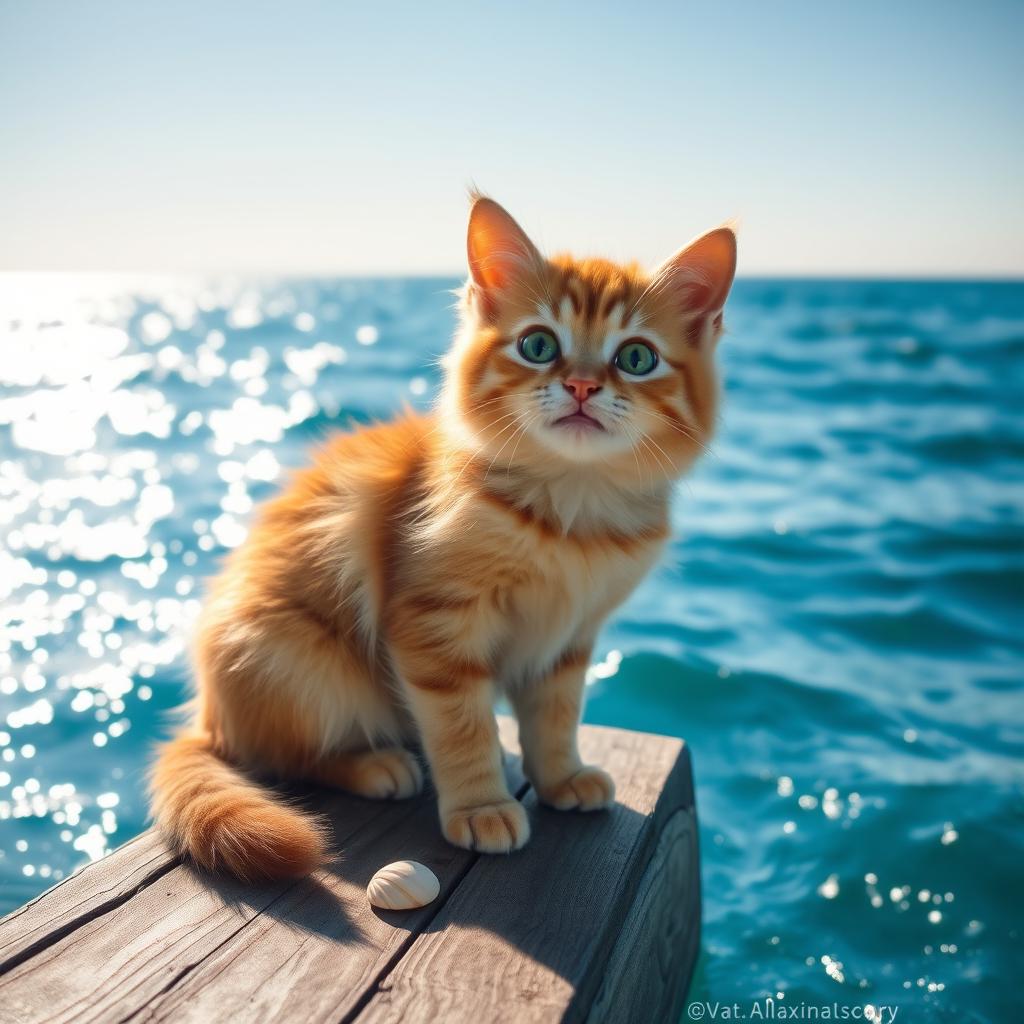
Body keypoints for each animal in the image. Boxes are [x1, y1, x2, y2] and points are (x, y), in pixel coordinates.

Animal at [148, 193, 733, 880]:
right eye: (538, 345)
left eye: (636, 358)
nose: (584, 386)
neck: (571, 512)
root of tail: (208, 718)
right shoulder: (435, 622)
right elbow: (463, 725)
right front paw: (482, 805)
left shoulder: (570, 637)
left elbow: (556, 715)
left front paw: (561, 776)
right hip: (299, 663)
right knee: (285, 759)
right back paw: (375, 764)